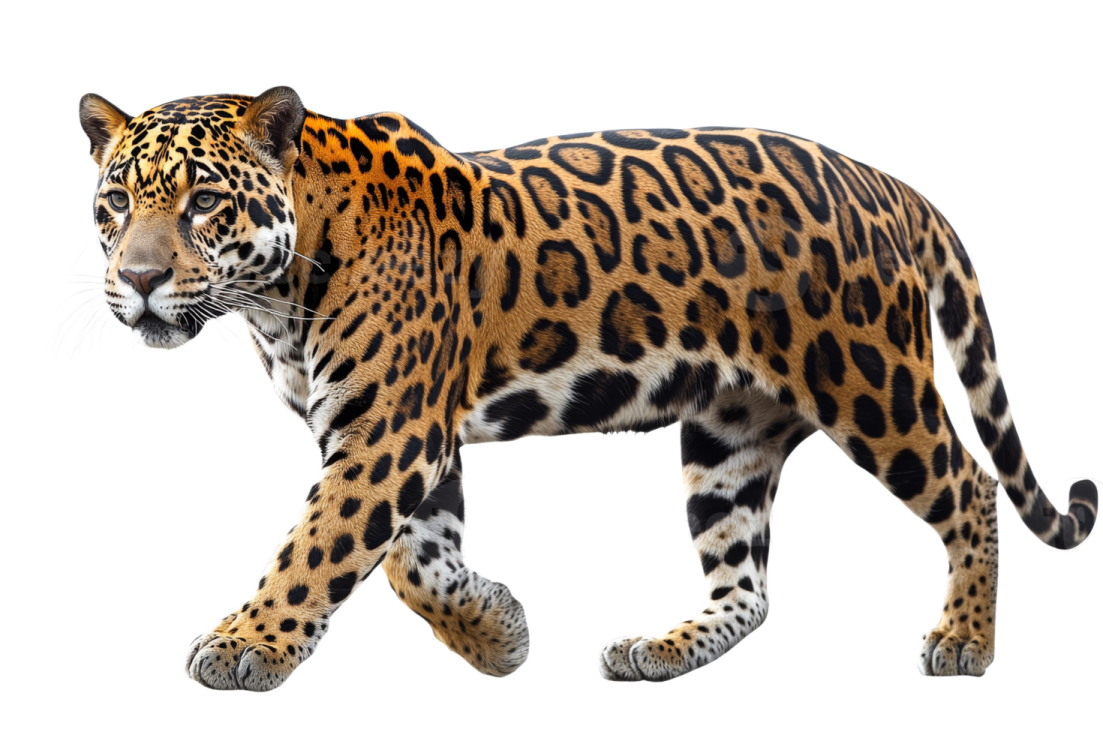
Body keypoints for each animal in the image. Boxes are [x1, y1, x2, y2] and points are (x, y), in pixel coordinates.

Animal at [57, 85, 1099, 690]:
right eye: (116, 201)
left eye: (203, 201)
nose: (135, 279)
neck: (274, 295)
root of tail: (889, 185)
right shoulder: (414, 436)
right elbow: (410, 563)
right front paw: (494, 632)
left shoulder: (387, 429)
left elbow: (318, 546)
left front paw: (247, 643)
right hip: (728, 432)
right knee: (746, 582)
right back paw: (659, 650)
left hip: (872, 384)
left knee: (971, 487)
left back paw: (962, 641)